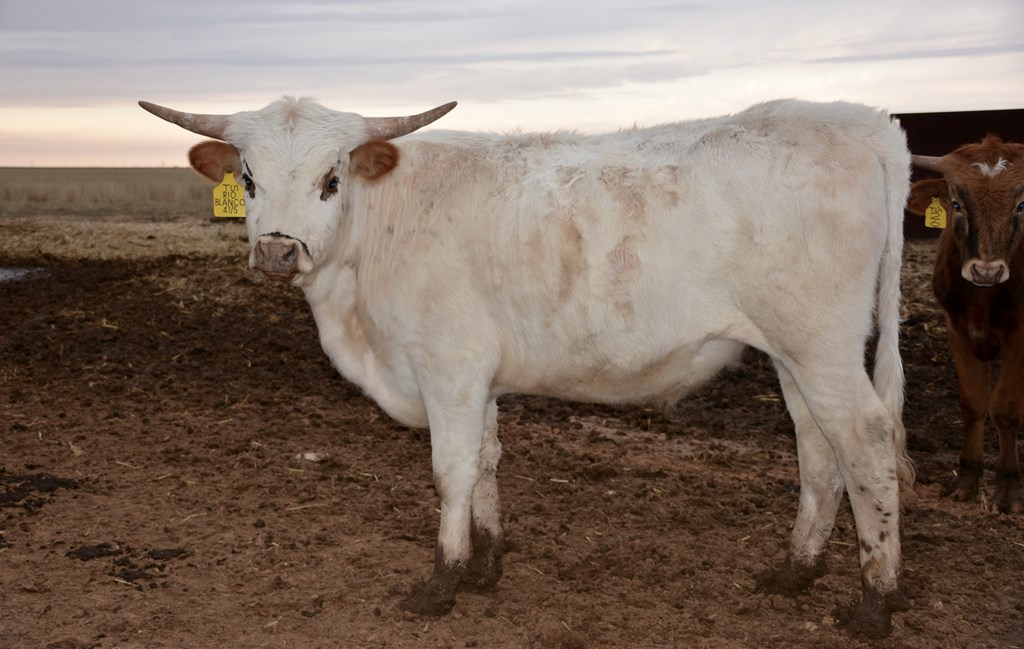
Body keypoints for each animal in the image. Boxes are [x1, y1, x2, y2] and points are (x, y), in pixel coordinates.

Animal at [140, 97, 914, 637]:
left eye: (332, 178)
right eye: (248, 177)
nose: (277, 252)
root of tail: (861, 122)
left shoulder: (449, 366)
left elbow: (451, 470)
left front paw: (442, 581)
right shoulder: (476, 376)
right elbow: (486, 460)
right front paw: (487, 564)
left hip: (821, 345)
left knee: (868, 446)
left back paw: (876, 600)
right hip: (794, 354)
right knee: (819, 450)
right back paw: (795, 571)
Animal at [907, 135, 1024, 514]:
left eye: (1021, 205)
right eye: (956, 204)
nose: (986, 271)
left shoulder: (1020, 337)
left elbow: (1006, 408)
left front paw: (1008, 487)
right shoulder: (956, 329)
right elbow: (972, 403)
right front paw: (968, 478)